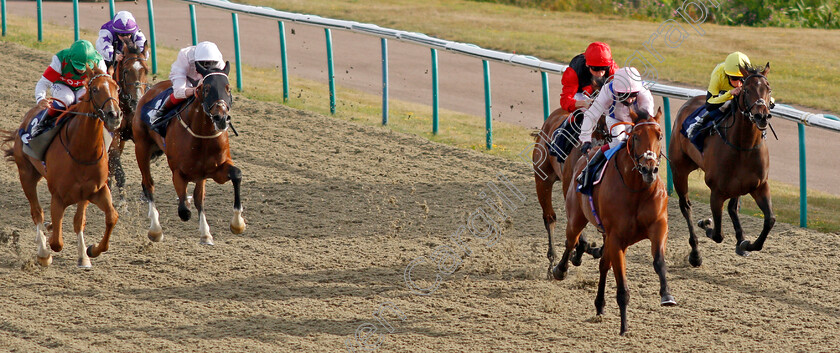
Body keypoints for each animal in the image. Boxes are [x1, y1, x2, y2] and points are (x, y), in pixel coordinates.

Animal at [2, 66, 121, 266]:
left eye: (117, 88)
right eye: (95, 89)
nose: (115, 115)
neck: (82, 151)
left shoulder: (95, 191)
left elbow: (108, 218)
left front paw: (89, 251)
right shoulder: (58, 196)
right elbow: (57, 242)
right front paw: (49, 243)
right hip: (27, 175)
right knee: (37, 212)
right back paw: (43, 252)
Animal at [130, 60, 243, 245]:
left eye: (228, 88)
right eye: (206, 89)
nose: (221, 118)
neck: (202, 136)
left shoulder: (215, 170)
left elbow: (236, 174)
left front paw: (237, 224)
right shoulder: (178, 172)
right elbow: (184, 210)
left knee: (198, 196)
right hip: (141, 148)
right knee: (149, 184)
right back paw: (155, 229)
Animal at [552, 107, 676, 336]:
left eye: (660, 136)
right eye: (635, 137)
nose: (649, 169)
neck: (636, 188)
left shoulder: (658, 227)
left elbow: (659, 262)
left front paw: (667, 295)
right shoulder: (617, 238)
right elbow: (622, 287)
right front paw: (624, 327)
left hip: (608, 236)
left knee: (603, 265)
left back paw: (599, 305)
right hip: (577, 218)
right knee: (571, 241)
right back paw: (560, 269)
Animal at [668, 62, 776, 264]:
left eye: (768, 89)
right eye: (747, 90)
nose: (762, 116)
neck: (743, 147)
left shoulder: (760, 185)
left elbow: (769, 220)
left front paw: (746, 244)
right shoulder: (716, 192)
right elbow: (718, 234)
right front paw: (705, 223)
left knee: (733, 208)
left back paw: (740, 241)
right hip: (679, 170)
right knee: (686, 206)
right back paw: (695, 253)